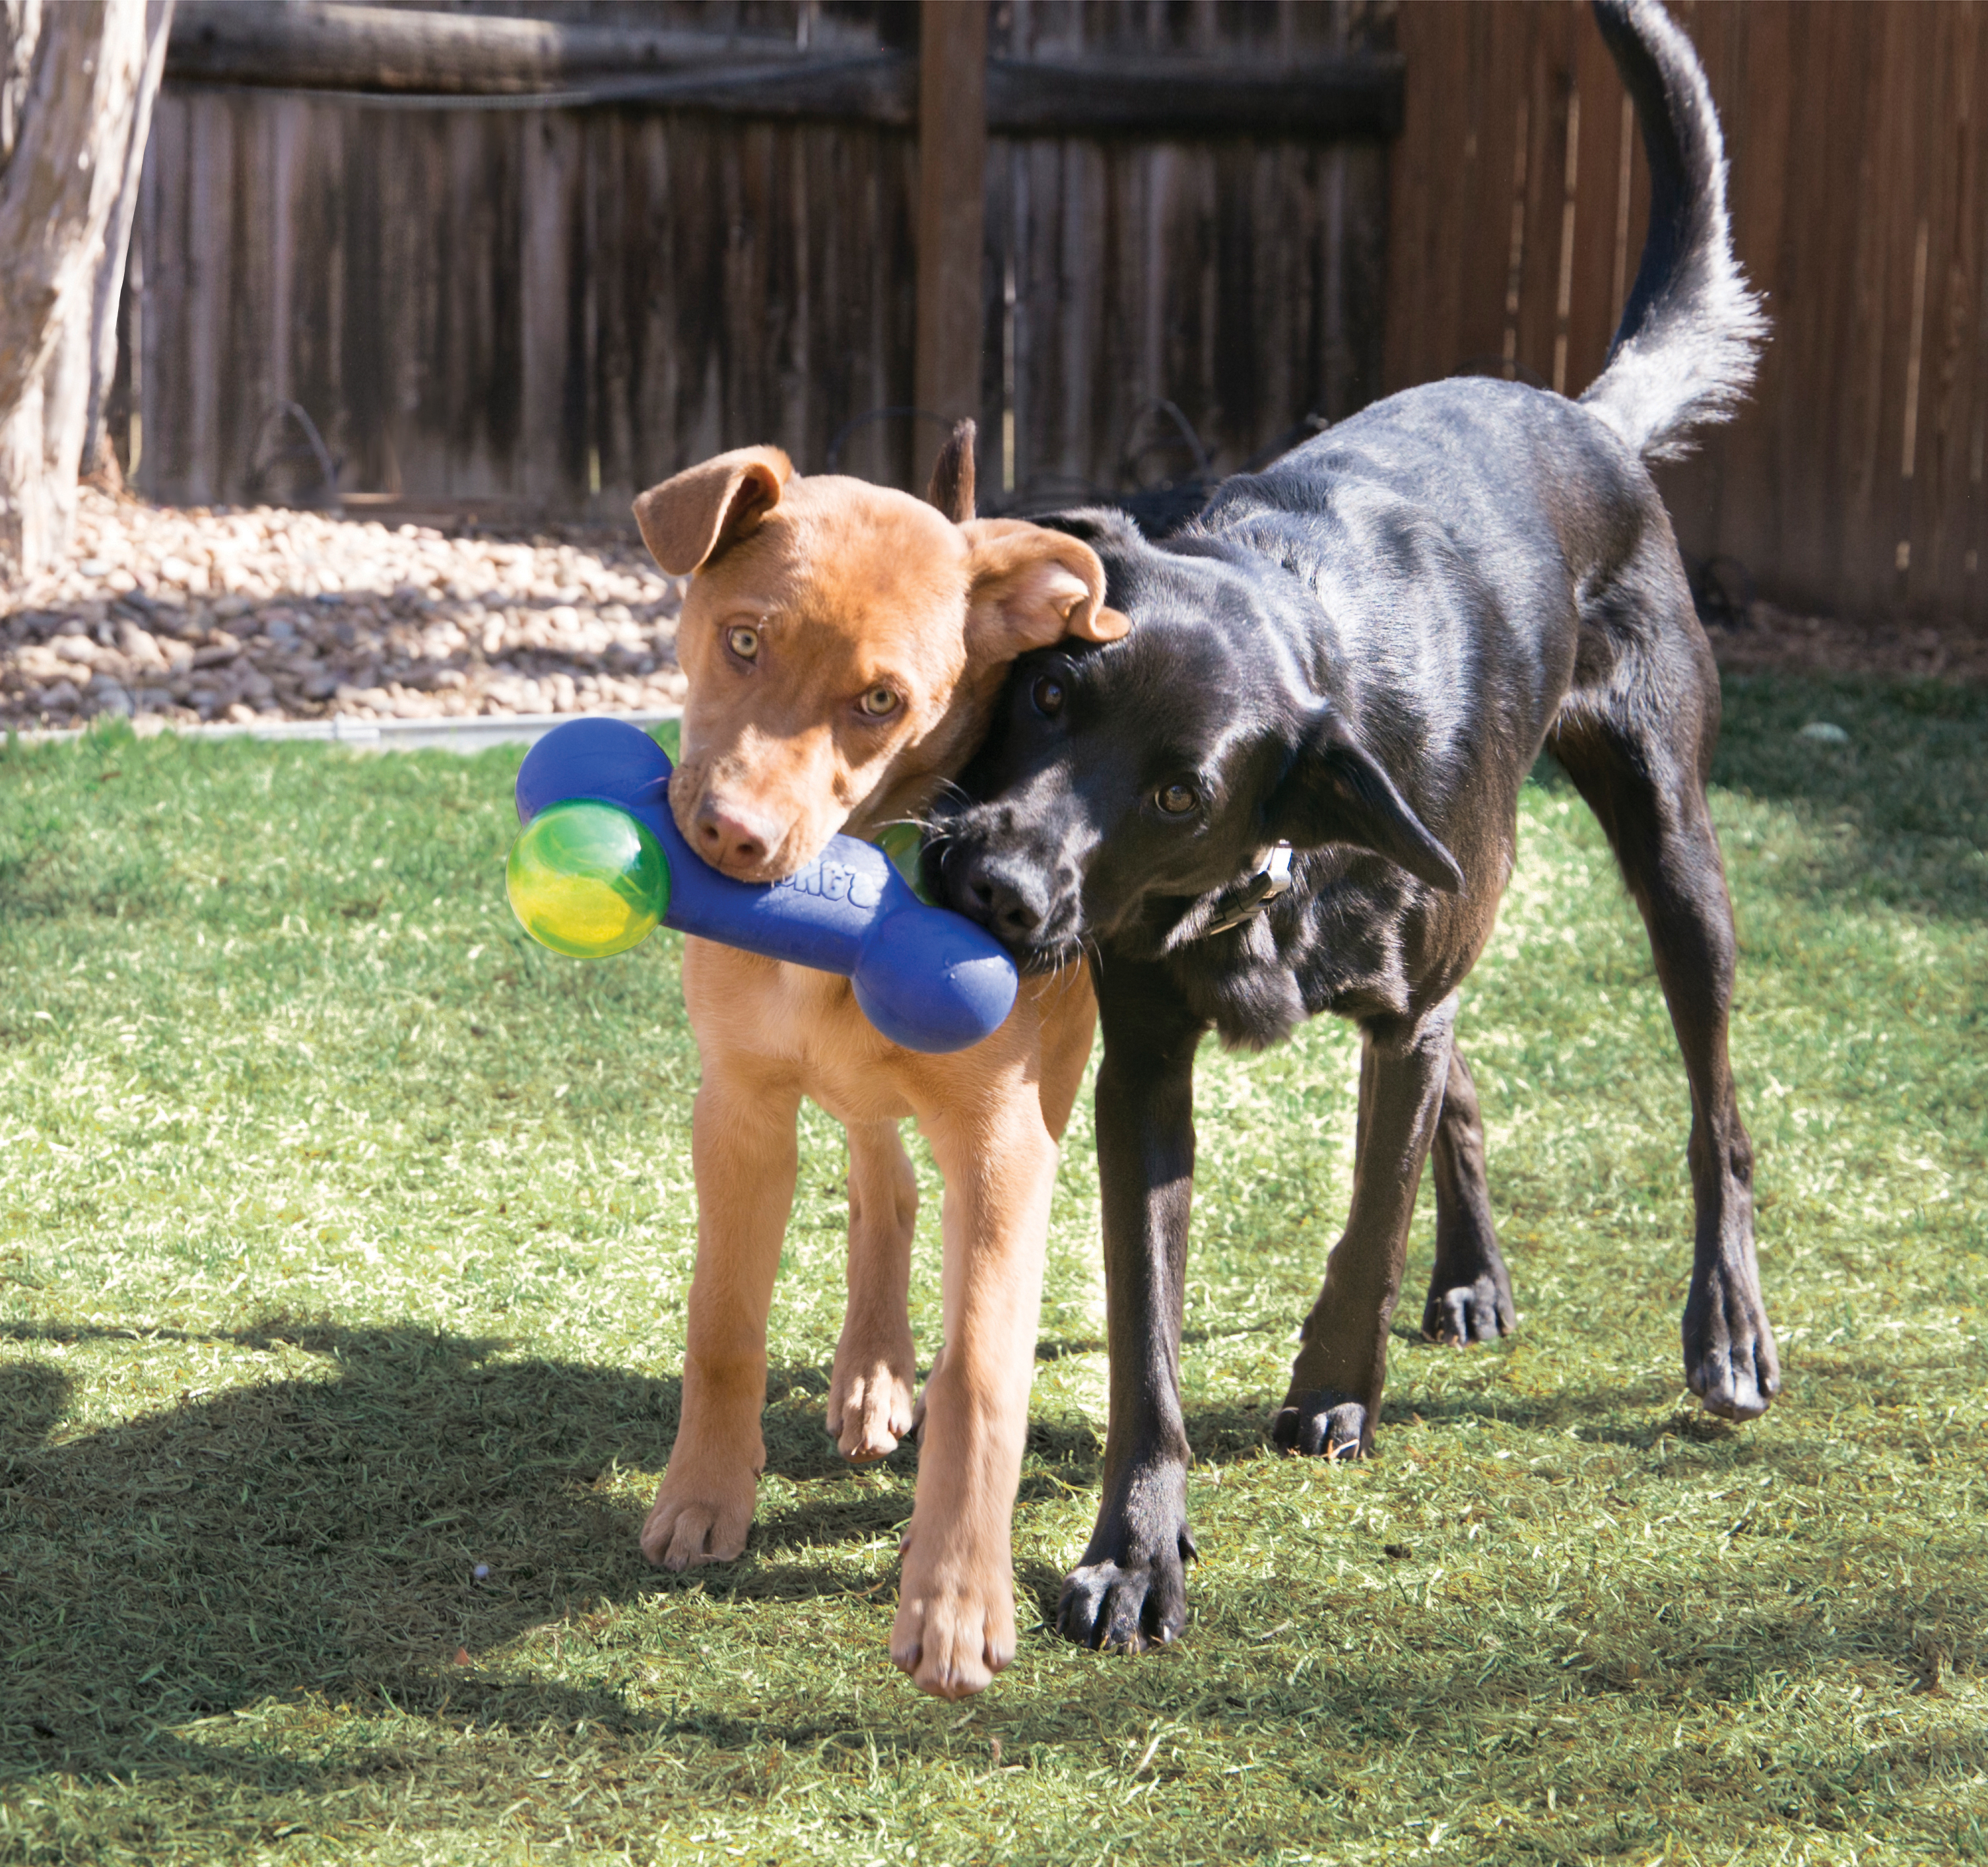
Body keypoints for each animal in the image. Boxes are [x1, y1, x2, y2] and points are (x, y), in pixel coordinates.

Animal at [628, 433, 1121, 1693]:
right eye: (743, 639)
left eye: (882, 701)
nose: (733, 838)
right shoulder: (739, 1107)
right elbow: (722, 1323)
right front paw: (703, 1494)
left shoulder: (1005, 1146)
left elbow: (986, 1375)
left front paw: (954, 1598)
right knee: (881, 1180)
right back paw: (872, 1370)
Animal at [934, 0, 1789, 1654]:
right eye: (1055, 684)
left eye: (1182, 791)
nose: (992, 884)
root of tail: (1585, 414)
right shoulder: (1146, 1063)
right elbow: (1148, 1334)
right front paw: (1137, 1543)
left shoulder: (1400, 993)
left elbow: (1368, 1200)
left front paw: (1334, 1385)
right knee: (1465, 1074)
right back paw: (1472, 1276)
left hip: (1672, 844)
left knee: (1708, 1106)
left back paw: (1724, 1328)